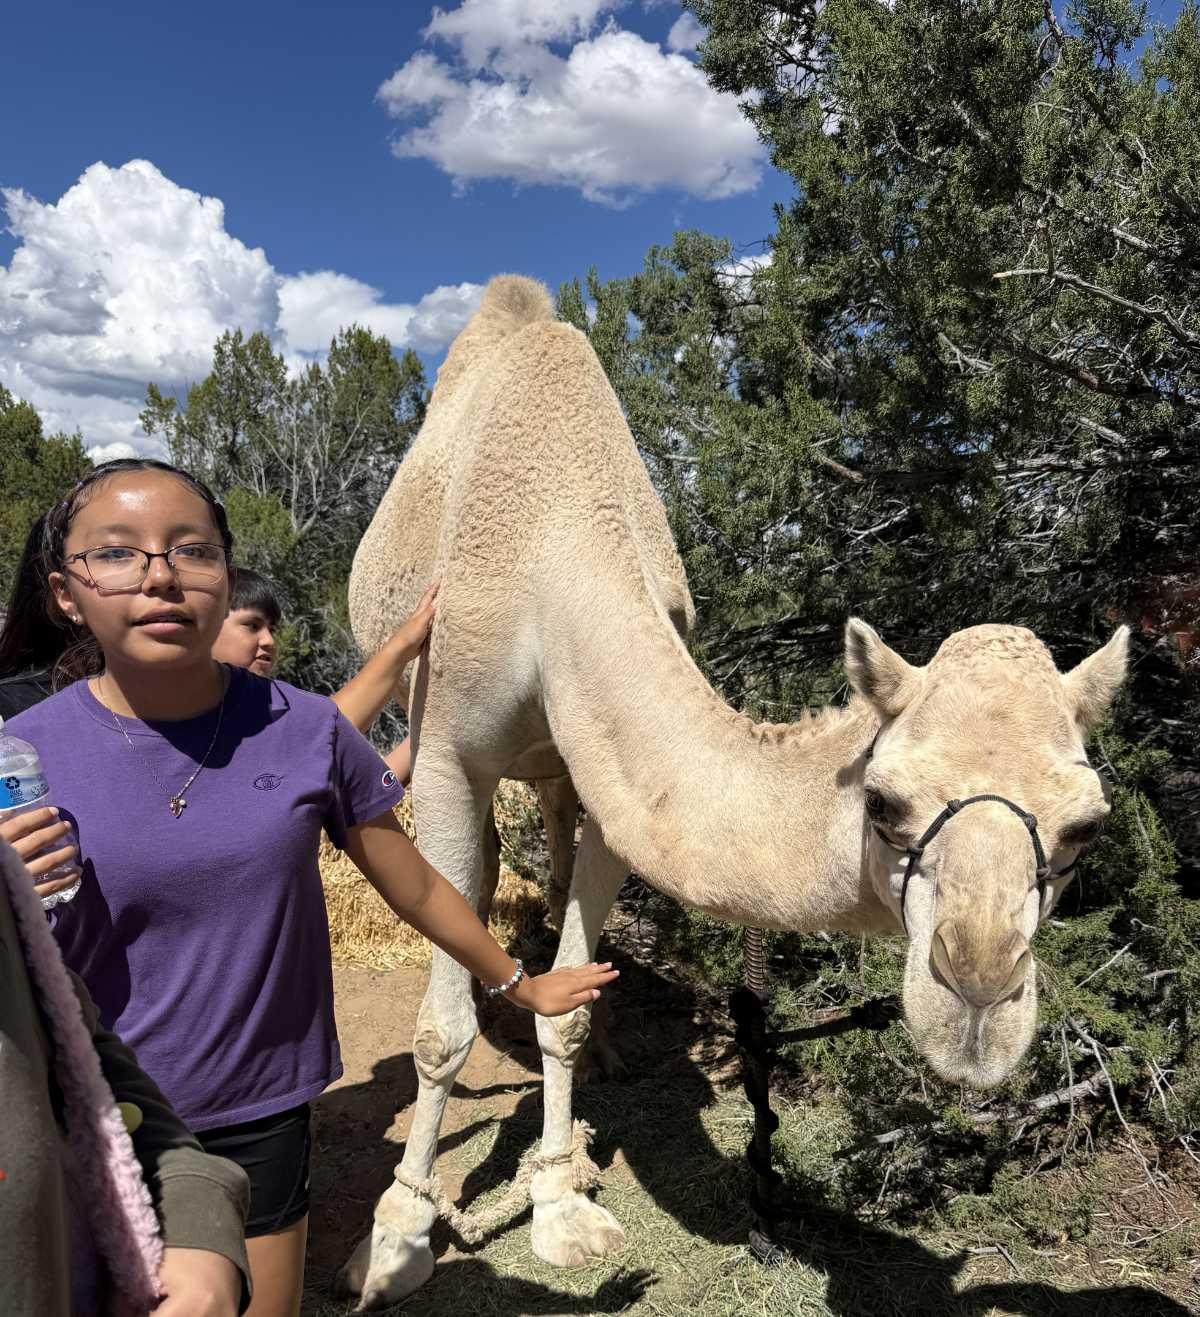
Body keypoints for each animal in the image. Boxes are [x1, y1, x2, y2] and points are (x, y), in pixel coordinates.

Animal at [338, 276, 1128, 1308]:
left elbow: (571, 993)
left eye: (1085, 829)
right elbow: (437, 1029)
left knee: (549, 855)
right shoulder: (444, 752)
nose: (980, 997)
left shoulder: (611, 773)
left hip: (556, 766)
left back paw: (604, 1059)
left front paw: (560, 1201)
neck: (557, 550)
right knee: (475, 883)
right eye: (884, 802)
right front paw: (396, 1234)